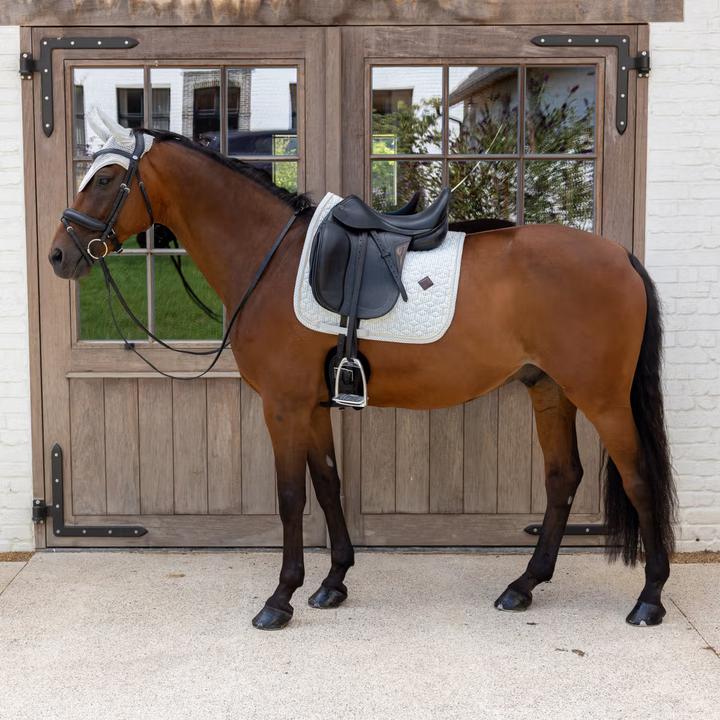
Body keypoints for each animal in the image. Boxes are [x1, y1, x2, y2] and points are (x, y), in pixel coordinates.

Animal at [49, 120, 675, 631]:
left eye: (106, 180)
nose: (59, 254)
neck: (273, 260)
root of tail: (620, 255)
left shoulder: (282, 406)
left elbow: (290, 497)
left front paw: (280, 598)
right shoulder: (312, 406)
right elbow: (328, 485)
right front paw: (333, 583)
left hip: (603, 399)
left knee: (639, 478)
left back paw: (649, 599)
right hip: (548, 390)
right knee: (562, 478)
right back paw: (523, 586)